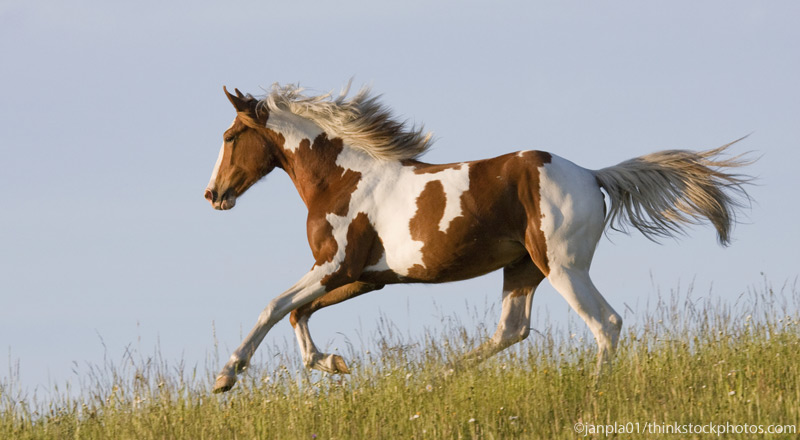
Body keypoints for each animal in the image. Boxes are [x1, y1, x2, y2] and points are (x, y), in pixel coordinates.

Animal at [203, 82, 752, 392]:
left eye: (230, 137)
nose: (213, 194)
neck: (344, 179)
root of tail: (593, 175)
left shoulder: (334, 265)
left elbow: (274, 306)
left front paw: (226, 376)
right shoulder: (365, 277)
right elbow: (299, 312)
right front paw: (335, 363)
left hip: (563, 267)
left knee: (607, 323)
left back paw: (595, 393)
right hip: (523, 268)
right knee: (511, 330)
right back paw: (432, 381)